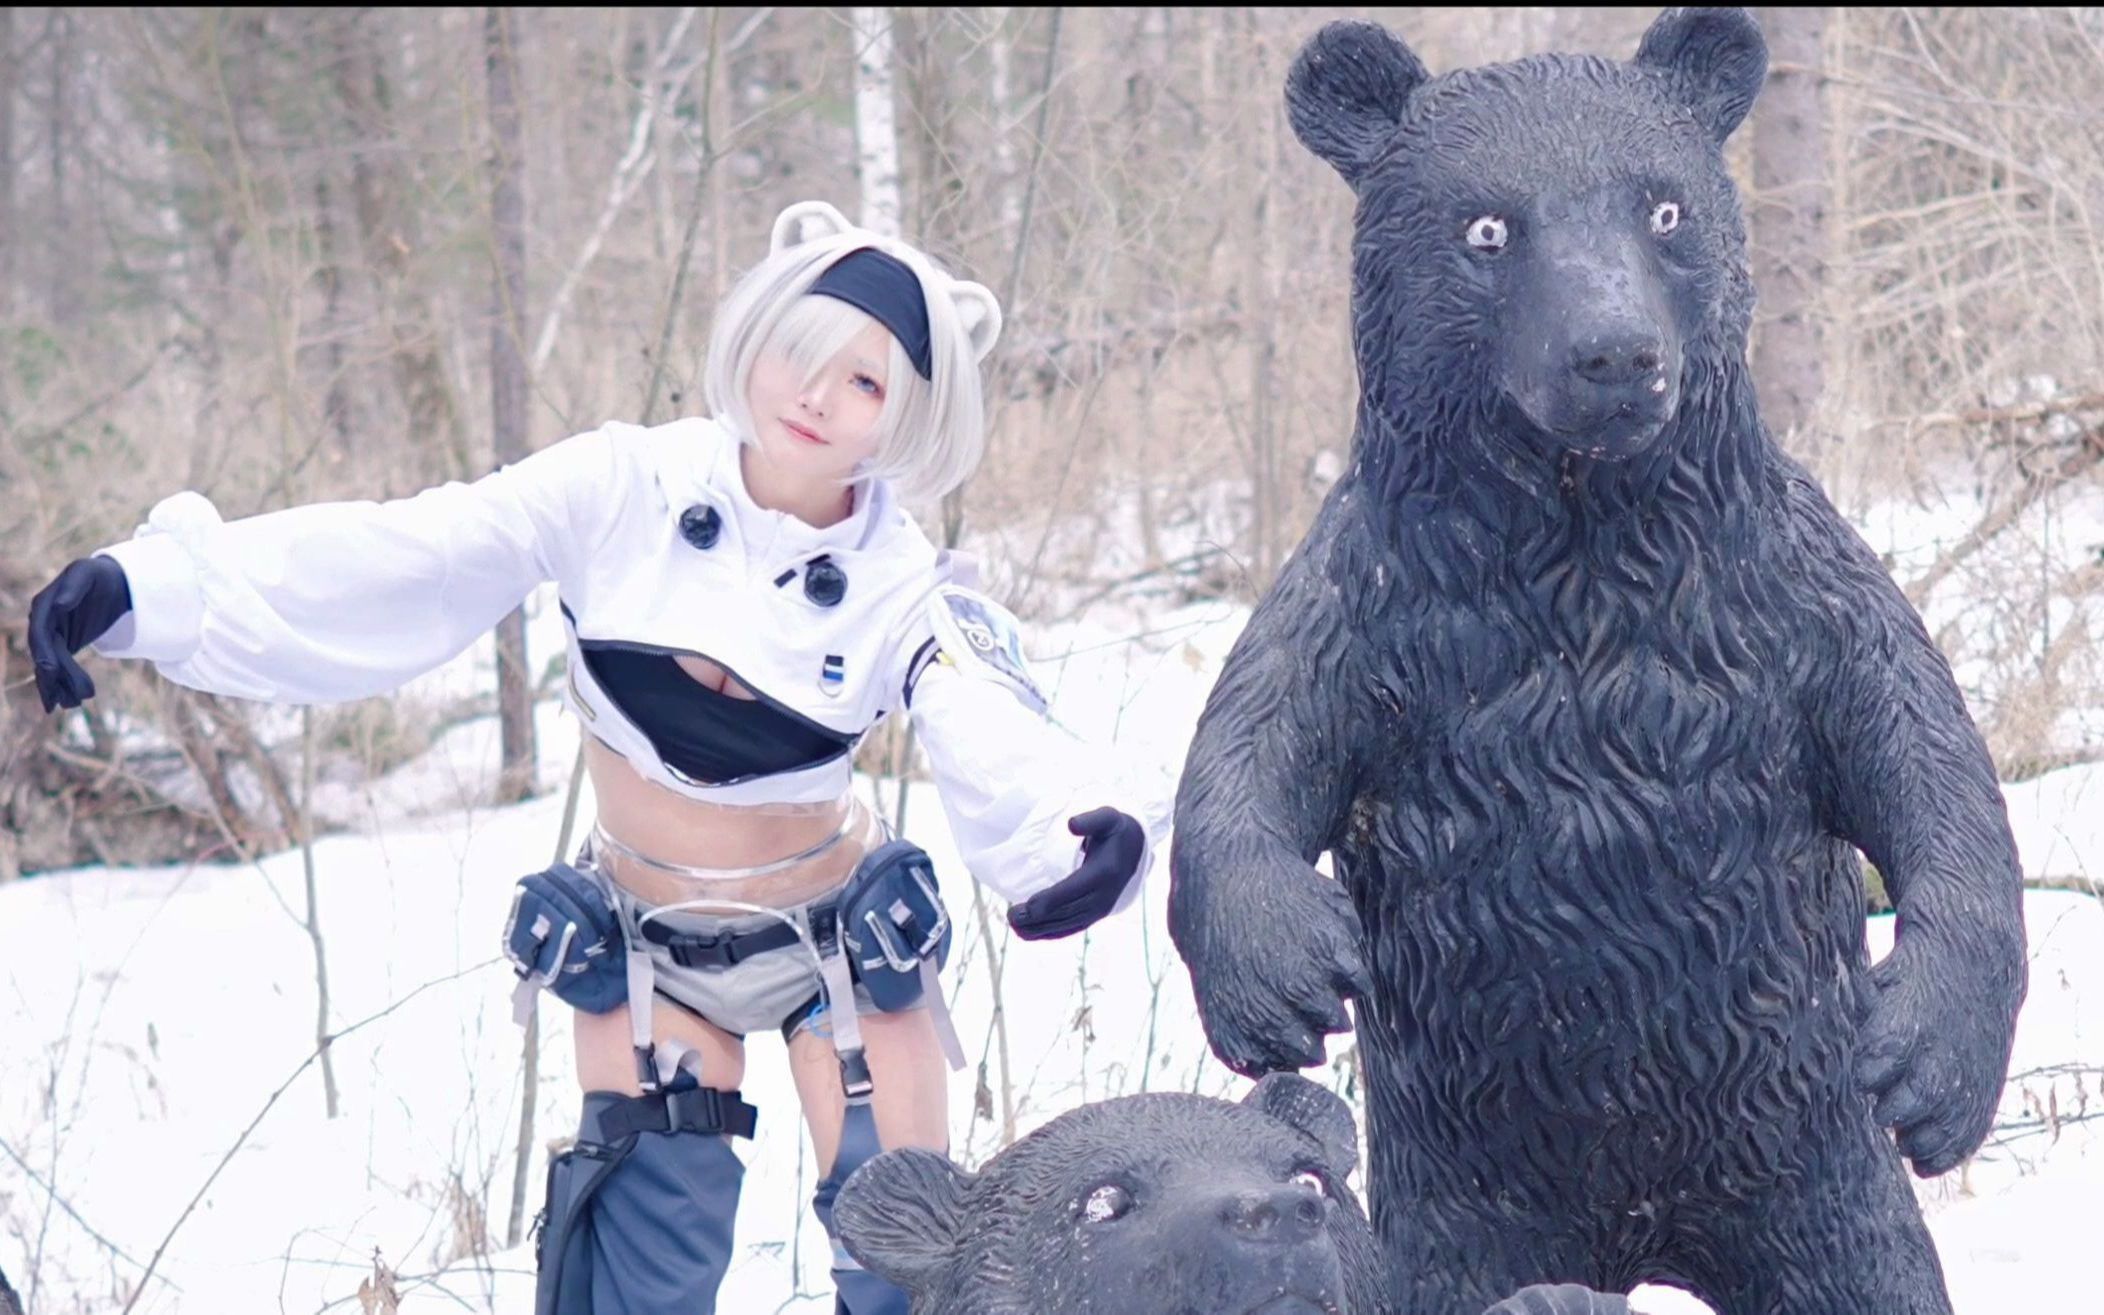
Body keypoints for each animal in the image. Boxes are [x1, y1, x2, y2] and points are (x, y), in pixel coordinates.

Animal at [1166, 9, 2028, 1315]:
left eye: (1663, 208)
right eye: (1485, 228)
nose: (1613, 355)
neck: (1586, 550)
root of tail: (1642, 1230)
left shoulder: (1789, 602)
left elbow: (1927, 759)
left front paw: (1932, 1057)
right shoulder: (1379, 614)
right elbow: (1252, 742)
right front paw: (1278, 970)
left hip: (1804, 1157)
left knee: (1861, 1261)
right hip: (1473, 1189)